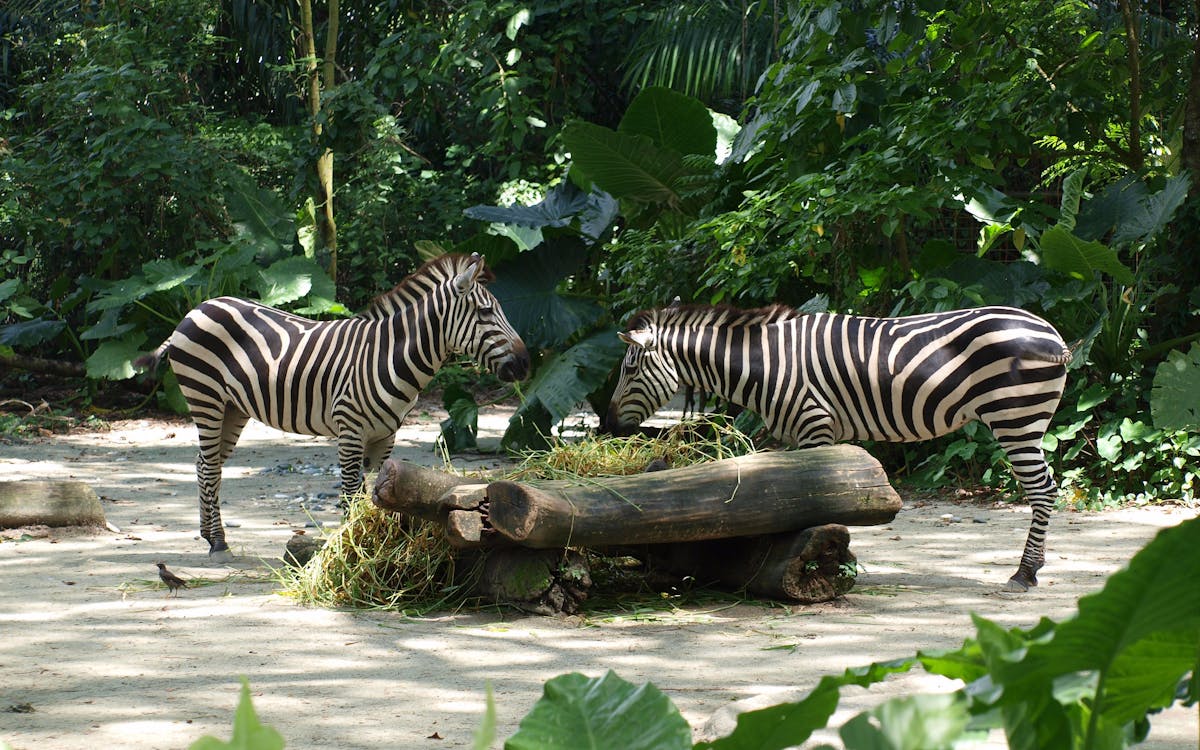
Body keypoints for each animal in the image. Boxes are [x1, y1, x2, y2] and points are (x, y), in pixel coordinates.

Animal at [138, 252, 528, 556]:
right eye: (484, 313)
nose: (525, 365)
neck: (390, 356)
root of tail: (197, 308)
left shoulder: (385, 435)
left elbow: (381, 494)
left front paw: (379, 546)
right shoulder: (350, 430)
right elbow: (350, 494)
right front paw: (350, 548)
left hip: (234, 408)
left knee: (207, 464)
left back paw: (209, 535)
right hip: (206, 398)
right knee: (207, 467)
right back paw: (218, 542)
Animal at [604, 300, 1075, 590]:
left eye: (629, 369)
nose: (608, 426)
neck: (765, 364)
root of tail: (1052, 333)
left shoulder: (815, 423)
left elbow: (815, 499)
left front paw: (819, 561)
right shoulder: (802, 434)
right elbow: (789, 497)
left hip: (1013, 415)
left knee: (1042, 489)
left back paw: (1024, 573)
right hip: (1027, 420)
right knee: (1048, 487)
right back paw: (1034, 567)